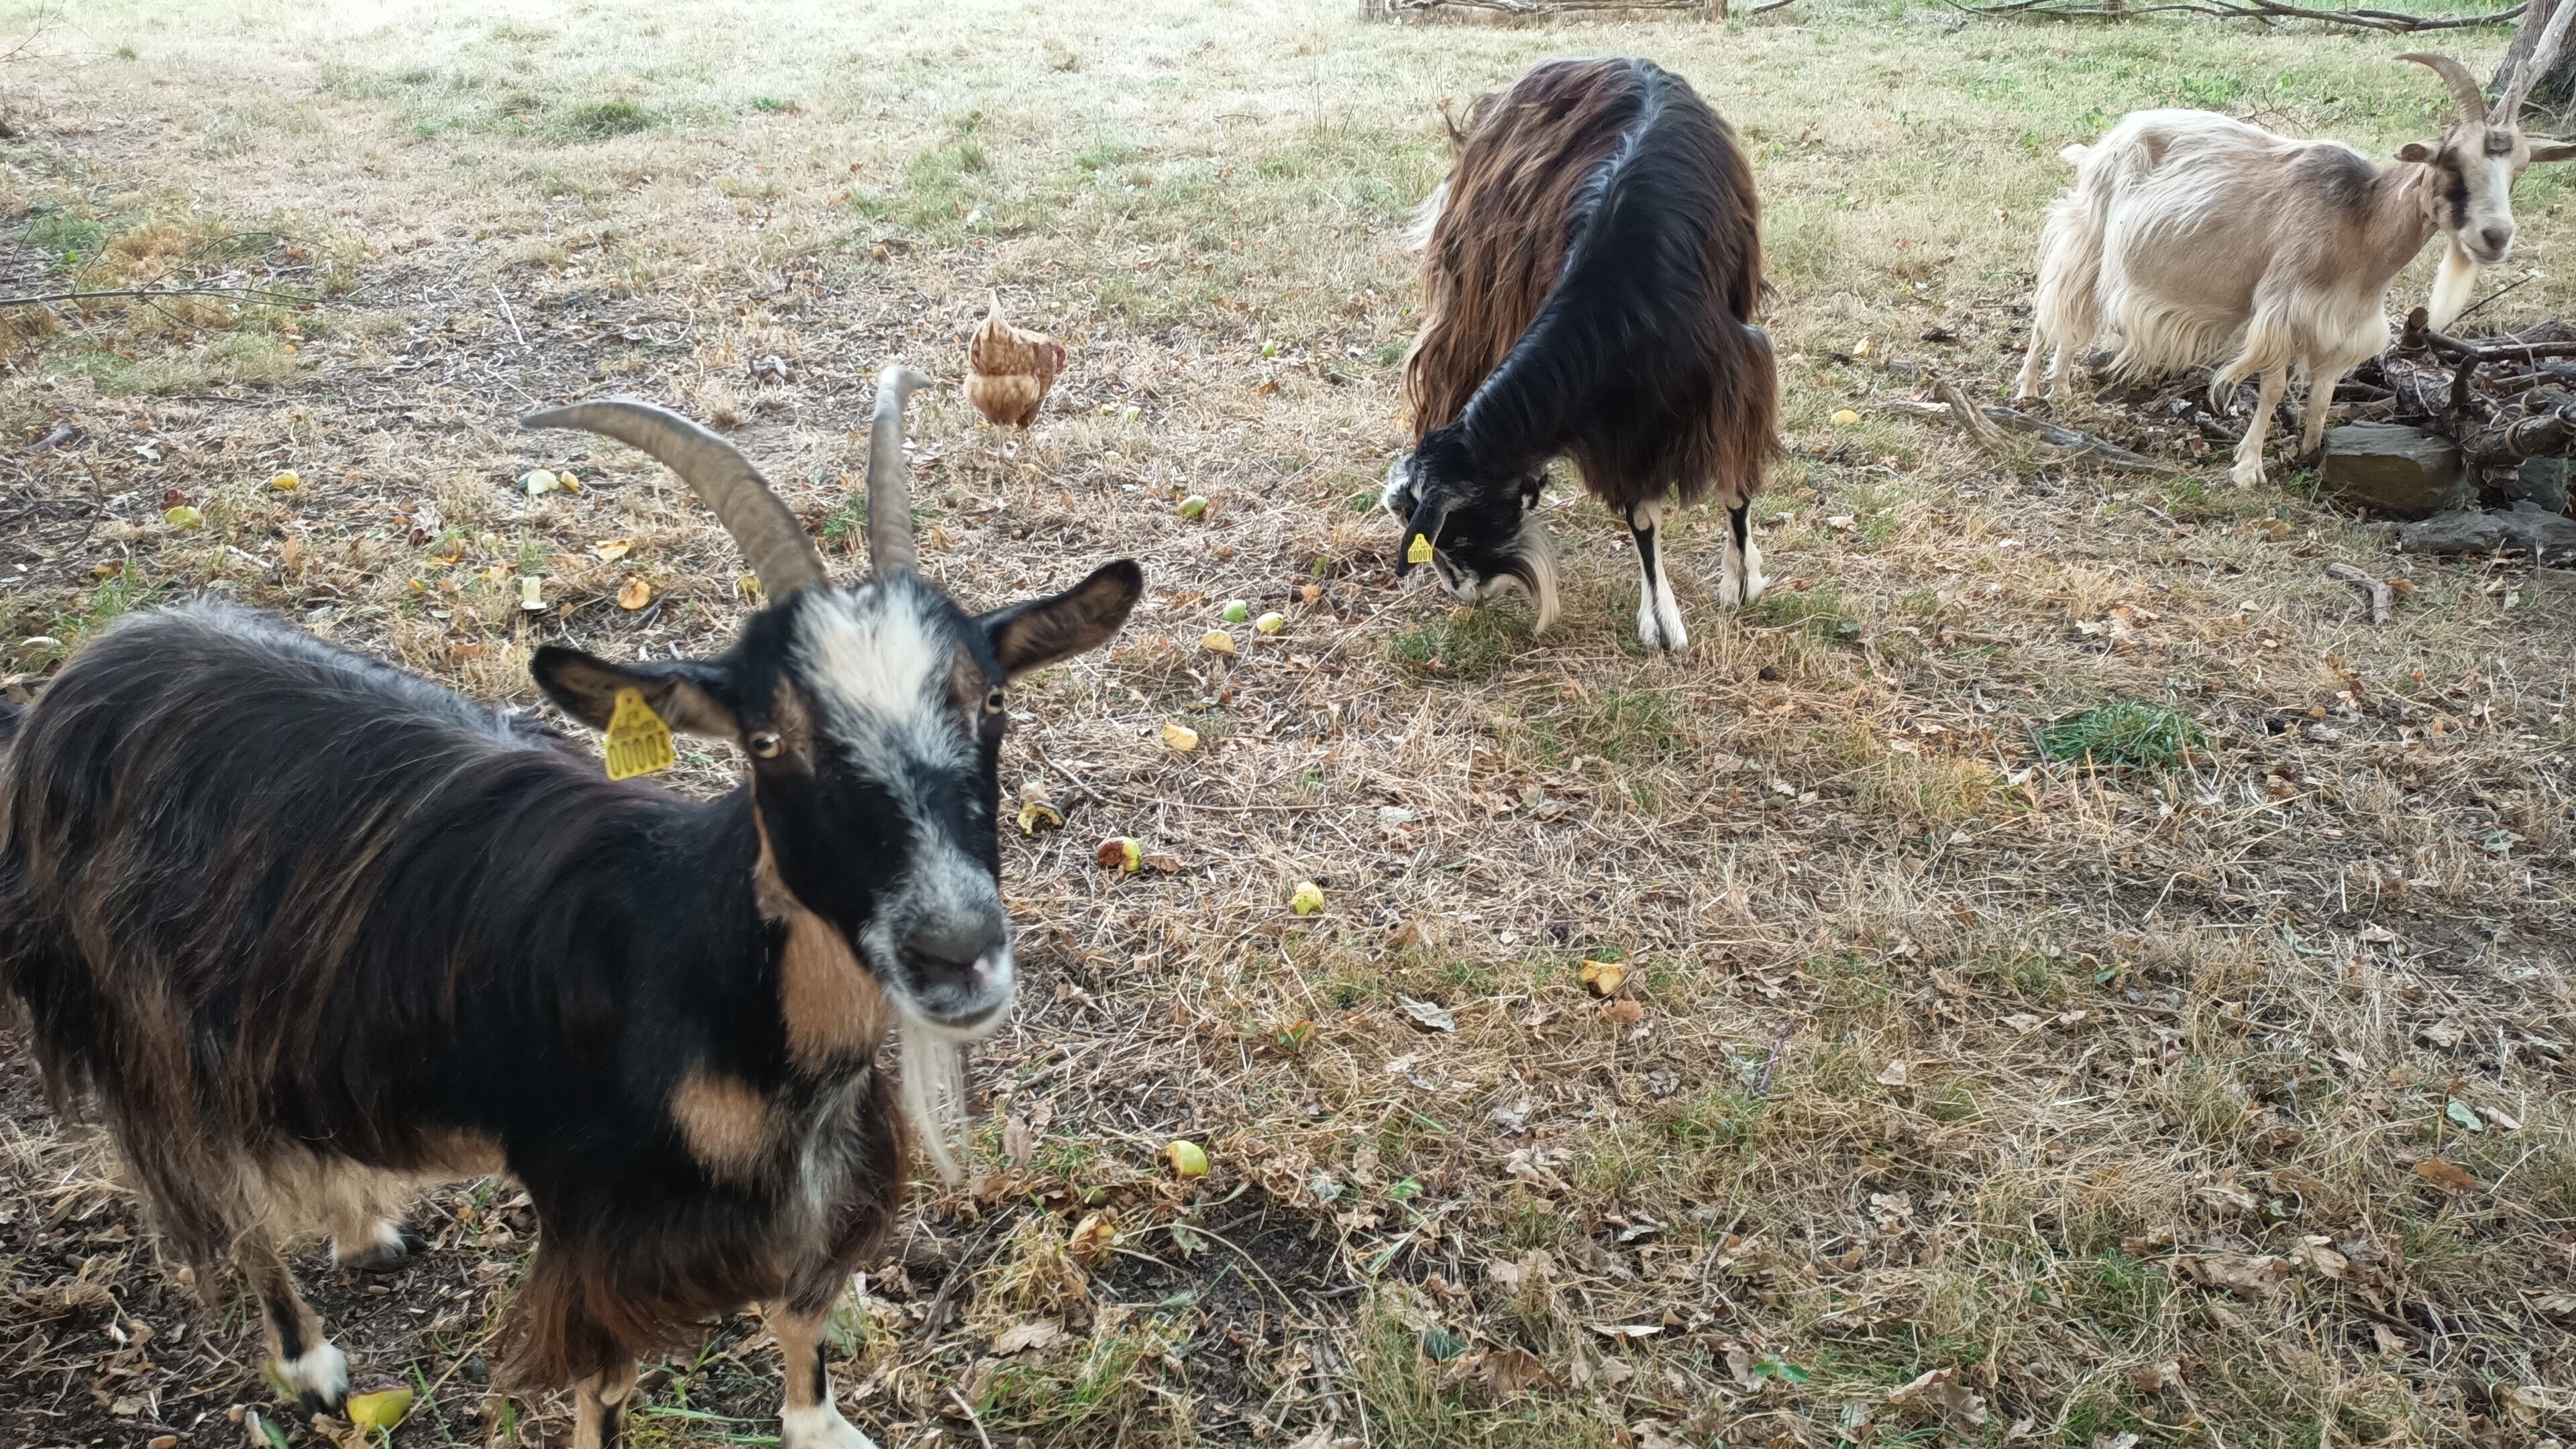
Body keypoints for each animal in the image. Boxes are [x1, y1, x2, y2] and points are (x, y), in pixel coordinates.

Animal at [0, 367, 1142, 1449]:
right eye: (766, 740)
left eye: (992, 700)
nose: (956, 952)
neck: (705, 982)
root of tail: (76, 681)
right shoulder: (602, 1228)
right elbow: (607, 1389)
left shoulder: (817, 1186)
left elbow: (801, 1314)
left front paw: (820, 1426)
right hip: (146, 1022)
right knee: (222, 1196)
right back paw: (307, 1363)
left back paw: (362, 1228)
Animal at [1384, 56, 1777, 653]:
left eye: (1463, 527)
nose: (1463, 593)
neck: (1623, 290)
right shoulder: (1622, 422)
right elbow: (1642, 516)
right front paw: (1662, 616)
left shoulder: (1732, 381)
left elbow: (1735, 490)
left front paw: (1740, 580)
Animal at [2016, 30, 2576, 488]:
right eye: (2450, 161)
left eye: (2519, 169)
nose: (2495, 236)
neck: (2360, 227)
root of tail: (2105, 141)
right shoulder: (2282, 310)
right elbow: (2273, 387)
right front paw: (2248, 468)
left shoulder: (2345, 329)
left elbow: (2323, 395)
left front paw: (2307, 453)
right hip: (2088, 233)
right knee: (2053, 306)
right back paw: (2030, 389)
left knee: (2074, 314)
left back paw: (2061, 388)